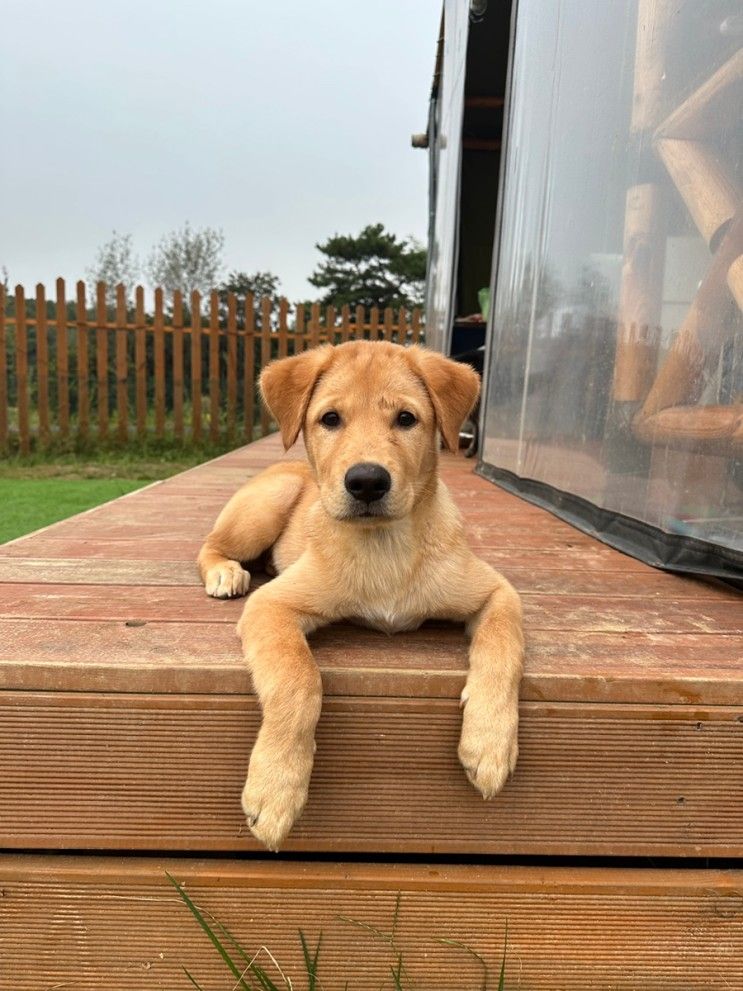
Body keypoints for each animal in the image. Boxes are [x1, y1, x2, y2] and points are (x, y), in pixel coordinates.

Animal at [198, 342, 524, 852]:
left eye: (407, 419)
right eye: (330, 419)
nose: (367, 481)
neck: (384, 546)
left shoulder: (498, 591)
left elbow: (503, 647)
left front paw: (489, 741)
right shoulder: (271, 606)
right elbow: (298, 678)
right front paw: (276, 787)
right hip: (265, 504)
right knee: (210, 544)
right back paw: (224, 572)